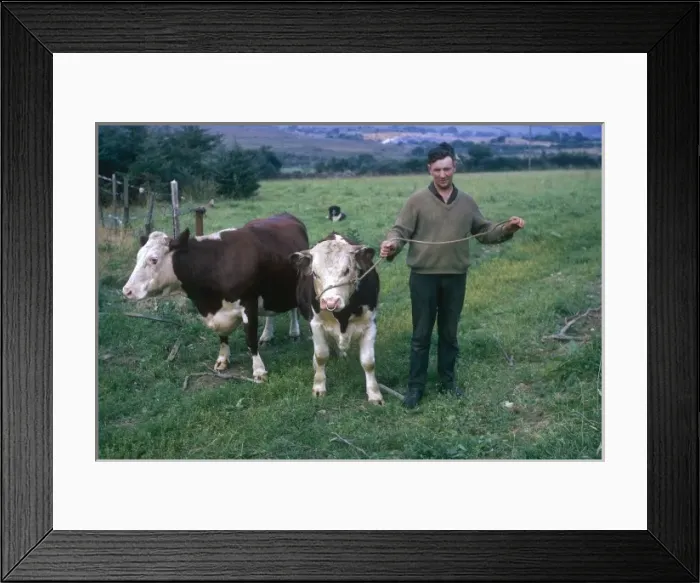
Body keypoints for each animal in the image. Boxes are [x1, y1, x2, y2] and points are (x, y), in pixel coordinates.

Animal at [122, 213, 310, 382]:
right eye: (138, 257)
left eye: (154, 259)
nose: (127, 290)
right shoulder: (217, 313)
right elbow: (222, 336)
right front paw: (222, 360)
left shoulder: (248, 303)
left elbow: (250, 339)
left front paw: (259, 370)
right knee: (271, 312)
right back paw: (267, 335)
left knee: (293, 309)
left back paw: (294, 332)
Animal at [291, 232, 383, 405]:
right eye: (315, 273)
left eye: (347, 270)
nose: (330, 302)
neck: (342, 316)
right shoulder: (316, 324)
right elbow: (321, 356)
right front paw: (319, 387)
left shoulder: (370, 324)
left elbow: (369, 362)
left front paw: (375, 394)